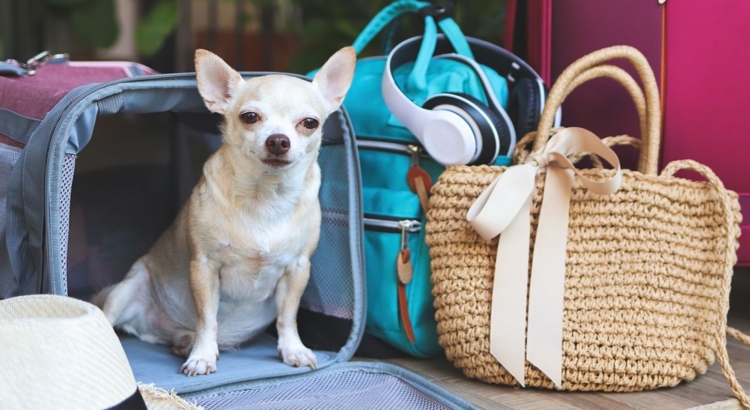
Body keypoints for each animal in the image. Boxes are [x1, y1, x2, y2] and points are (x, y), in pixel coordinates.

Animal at [92, 46, 356, 376]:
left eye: (310, 123)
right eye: (250, 117)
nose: (278, 140)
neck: (264, 196)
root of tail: (163, 330)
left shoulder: (297, 269)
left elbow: (289, 316)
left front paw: (293, 349)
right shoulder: (204, 267)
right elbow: (208, 318)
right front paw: (202, 356)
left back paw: (182, 345)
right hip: (125, 291)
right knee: (108, 319)